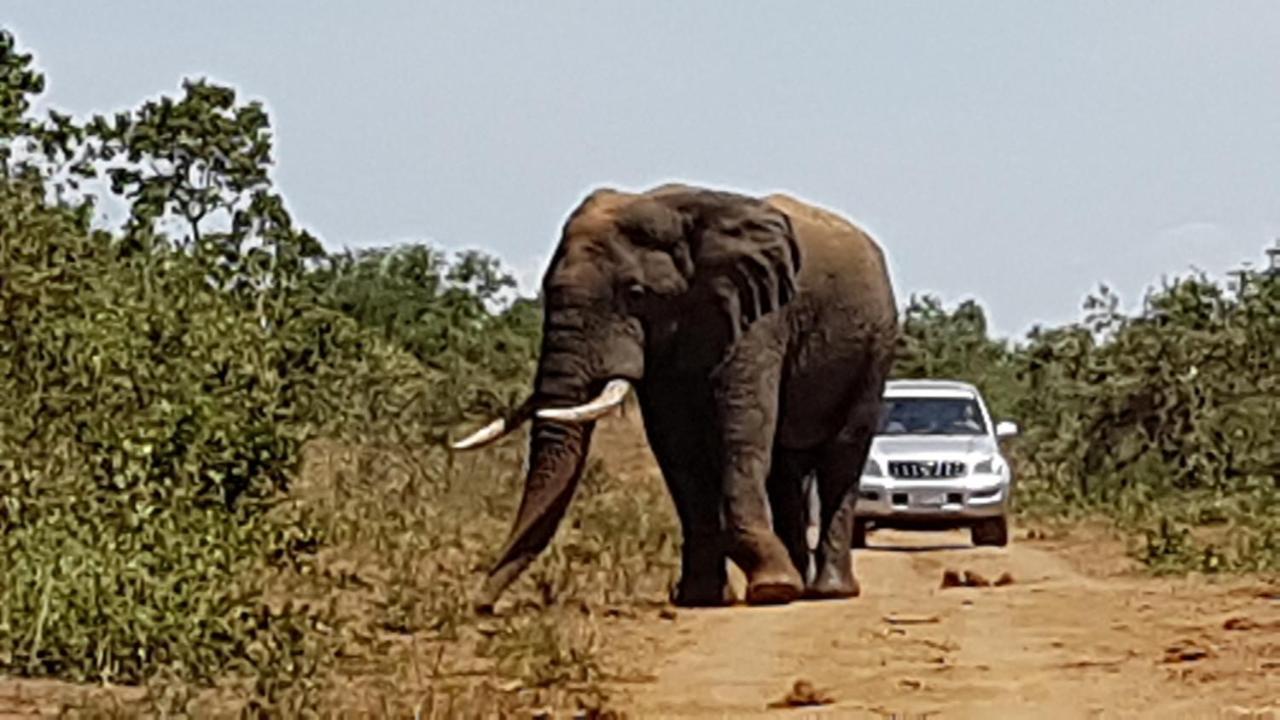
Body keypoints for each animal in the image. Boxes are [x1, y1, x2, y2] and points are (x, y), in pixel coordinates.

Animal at [455, 181, 896, 607]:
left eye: (635, 292)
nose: (480, 603)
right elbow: (676, 444)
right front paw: (701, 597)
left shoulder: (759, 316)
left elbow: (742, 427)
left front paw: (772, 590)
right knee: (787, 466)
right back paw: (801, 584)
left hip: (875, 349)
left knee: (843, 453)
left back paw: (828, 591)